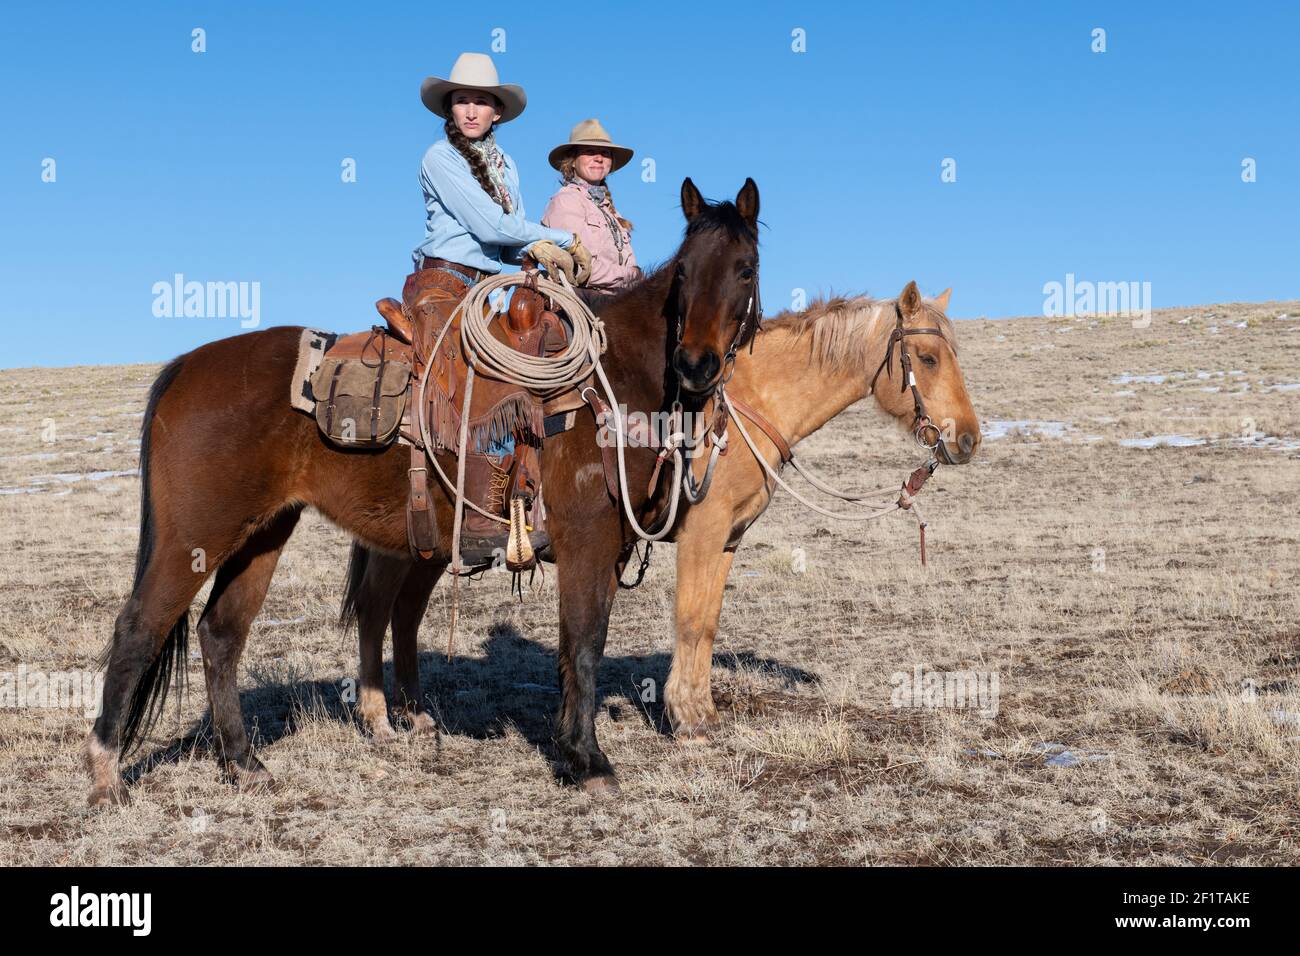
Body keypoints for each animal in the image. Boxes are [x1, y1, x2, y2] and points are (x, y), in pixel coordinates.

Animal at [86, 175, 759, 806]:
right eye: (684, 273)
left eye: (745, 269)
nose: (696, 365)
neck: (611, 382)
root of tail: (184, 368)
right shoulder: (586, 541)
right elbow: (586, 641)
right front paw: (588, 760)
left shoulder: (610, 545)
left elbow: (573, 645)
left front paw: (571, 747)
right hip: (195, 536)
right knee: (139, 627)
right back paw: (105, 777)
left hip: (264, 533)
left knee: (223, 633)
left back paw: (243, 762)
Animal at [340, 278, 977, 754]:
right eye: (926, 357)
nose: (967, 439)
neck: (742, 404)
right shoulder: (702, 532)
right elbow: (690, 619)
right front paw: (686, 719)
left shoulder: (727, 541)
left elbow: (709, 621)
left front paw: (702, 710)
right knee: (376, 611)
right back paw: (377, 718)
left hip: (424, 547)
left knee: (403, 615)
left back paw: (415, 715)